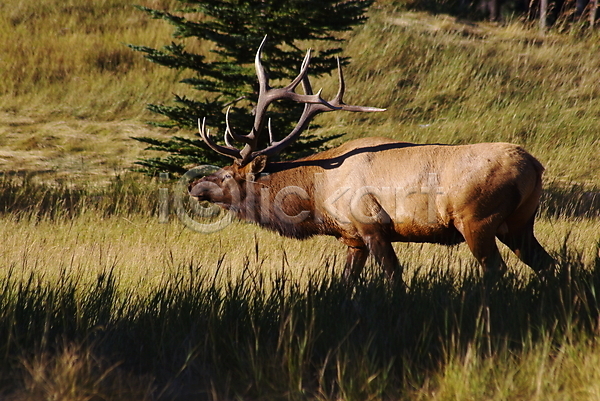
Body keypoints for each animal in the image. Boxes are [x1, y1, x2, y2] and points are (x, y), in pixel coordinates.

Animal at [190, 36, 556, 282]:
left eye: (226, 174)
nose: (195, 185)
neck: (317, 196)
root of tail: (535, 167)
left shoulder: (372, 225)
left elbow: (394, 278)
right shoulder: (353, 239)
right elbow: (345, 283)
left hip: (477, 221)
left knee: (497, 270)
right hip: (520, 222)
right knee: (548, 265)